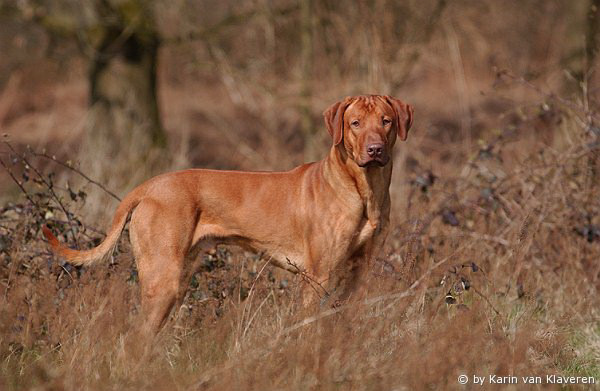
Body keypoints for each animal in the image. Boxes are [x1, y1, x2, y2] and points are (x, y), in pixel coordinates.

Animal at [44, 95, 414, 336]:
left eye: (386, 121)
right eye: (354, 124)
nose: (375, 150)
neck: (363, 191)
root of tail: (147, 187)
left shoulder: (359, 273)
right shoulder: (317, 277)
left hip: (177, 280)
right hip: (162, 279)